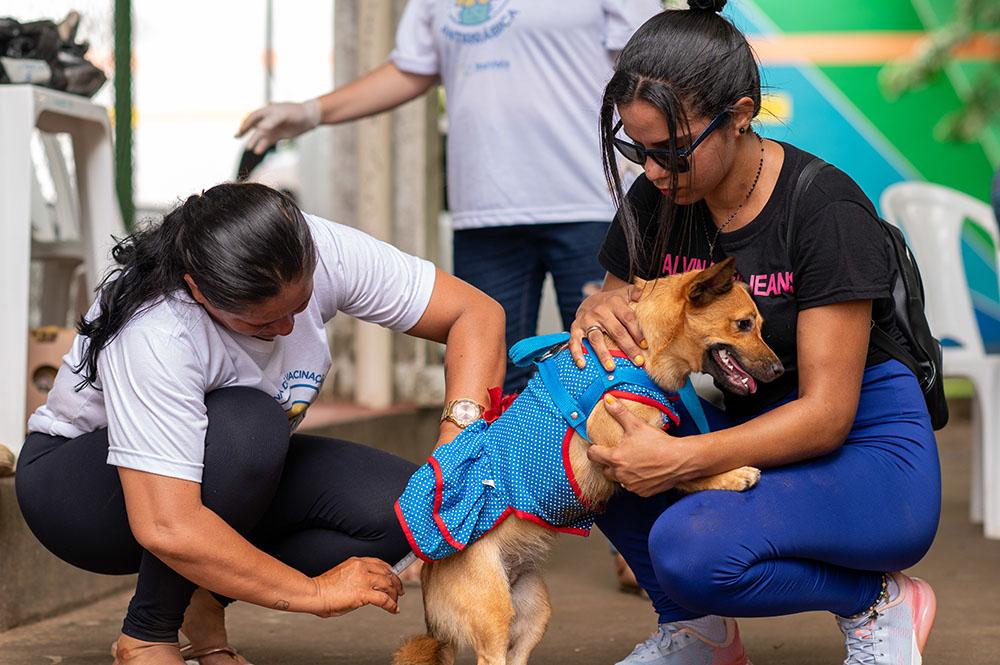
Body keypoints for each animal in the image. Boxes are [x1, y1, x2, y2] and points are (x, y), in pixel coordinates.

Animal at [394, 258, 784, 664]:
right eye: (743, 324)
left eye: (760, 325)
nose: (779, 371)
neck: (638, 353)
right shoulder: (634, 452)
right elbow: (686, 470)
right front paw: (732, 476)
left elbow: (688, 455)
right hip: (493, 617)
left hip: (534, 609)